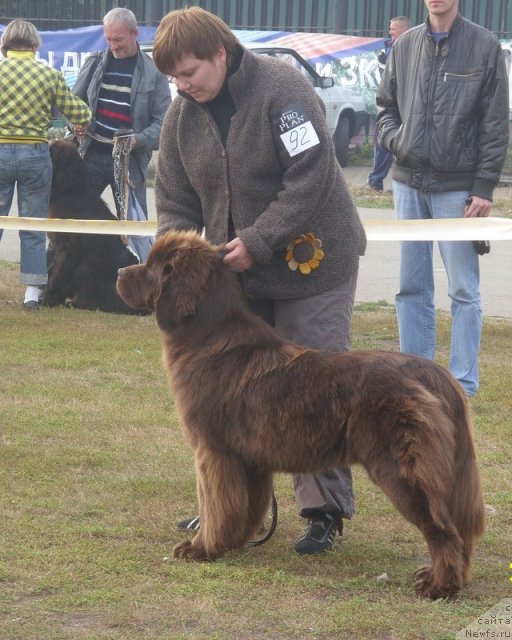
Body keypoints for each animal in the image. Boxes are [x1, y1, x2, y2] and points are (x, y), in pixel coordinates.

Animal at [40, 142, 146, 318]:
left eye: (52, 153)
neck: (71, 192)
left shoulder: (67, 249)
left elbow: (57, 275)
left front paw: (48, 298)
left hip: (89, 265)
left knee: (92, 302)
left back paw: (75, 304)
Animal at [115, 230, 484, 600]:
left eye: (152, 267)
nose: (119, 271)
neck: (206, 336)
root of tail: (434, 374)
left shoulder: (214, 450)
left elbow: (215, 504)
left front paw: (200, 548)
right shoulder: (249, 460)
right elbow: (244, 507)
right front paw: (233, 543)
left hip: (402, 467)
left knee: (443, 528)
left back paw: (439, 585)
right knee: (460, 527)